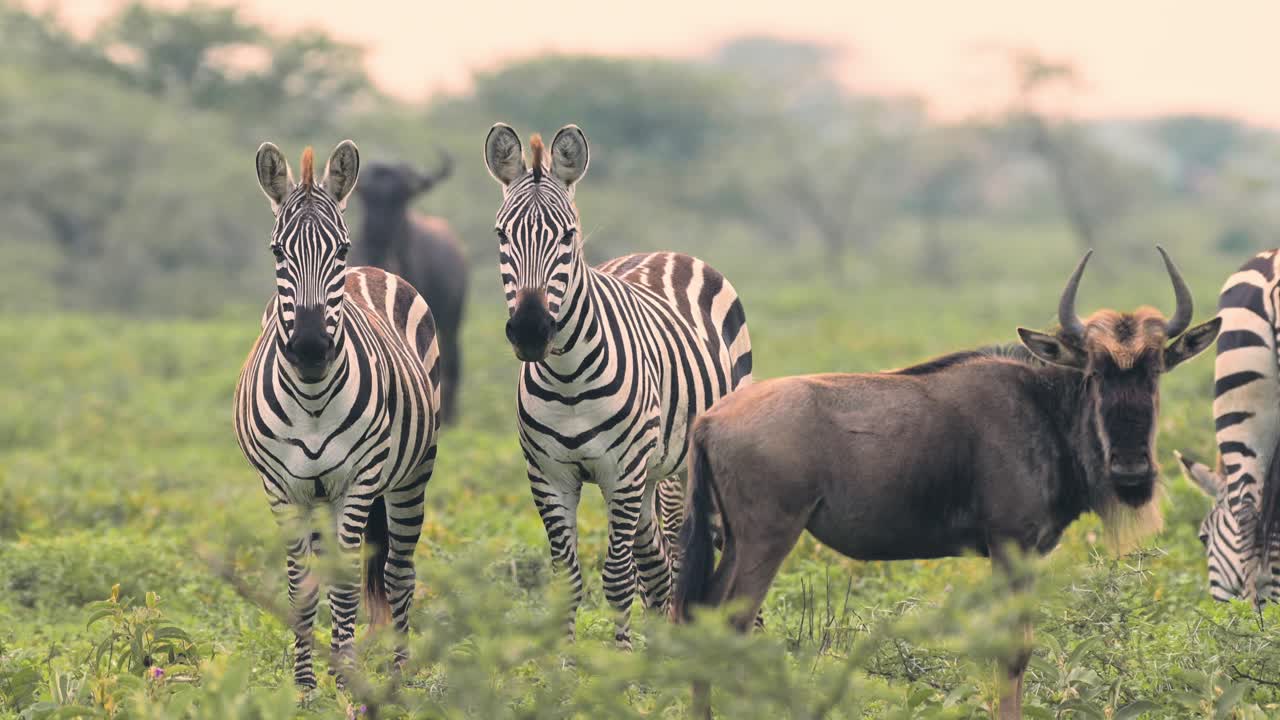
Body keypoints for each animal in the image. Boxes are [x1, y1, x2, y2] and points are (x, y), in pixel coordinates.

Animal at [234, 140, 441, 688]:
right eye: (277, 252)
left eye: (340, 250)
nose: (309, 347)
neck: (310, 398)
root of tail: (374, 270)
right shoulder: (281, 488)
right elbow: (301, 586)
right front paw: (306, 687)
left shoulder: (358, 480)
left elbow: (347, 585)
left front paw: (347, 682)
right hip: (320, 496)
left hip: (411, 474)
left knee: (398, 572)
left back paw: (398, 675)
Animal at [482, 124, 753, 648]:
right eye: (502, 234)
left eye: (568, 235)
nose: (529, 331)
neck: (567, 378)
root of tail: (666, 252)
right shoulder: (549, 477)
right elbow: (569, 581)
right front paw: (569, 665)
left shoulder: (621, 474)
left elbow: (617, 579)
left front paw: (618, 660)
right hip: (649, 475)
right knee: (659, 564)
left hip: (689, 459)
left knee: (705, 548)